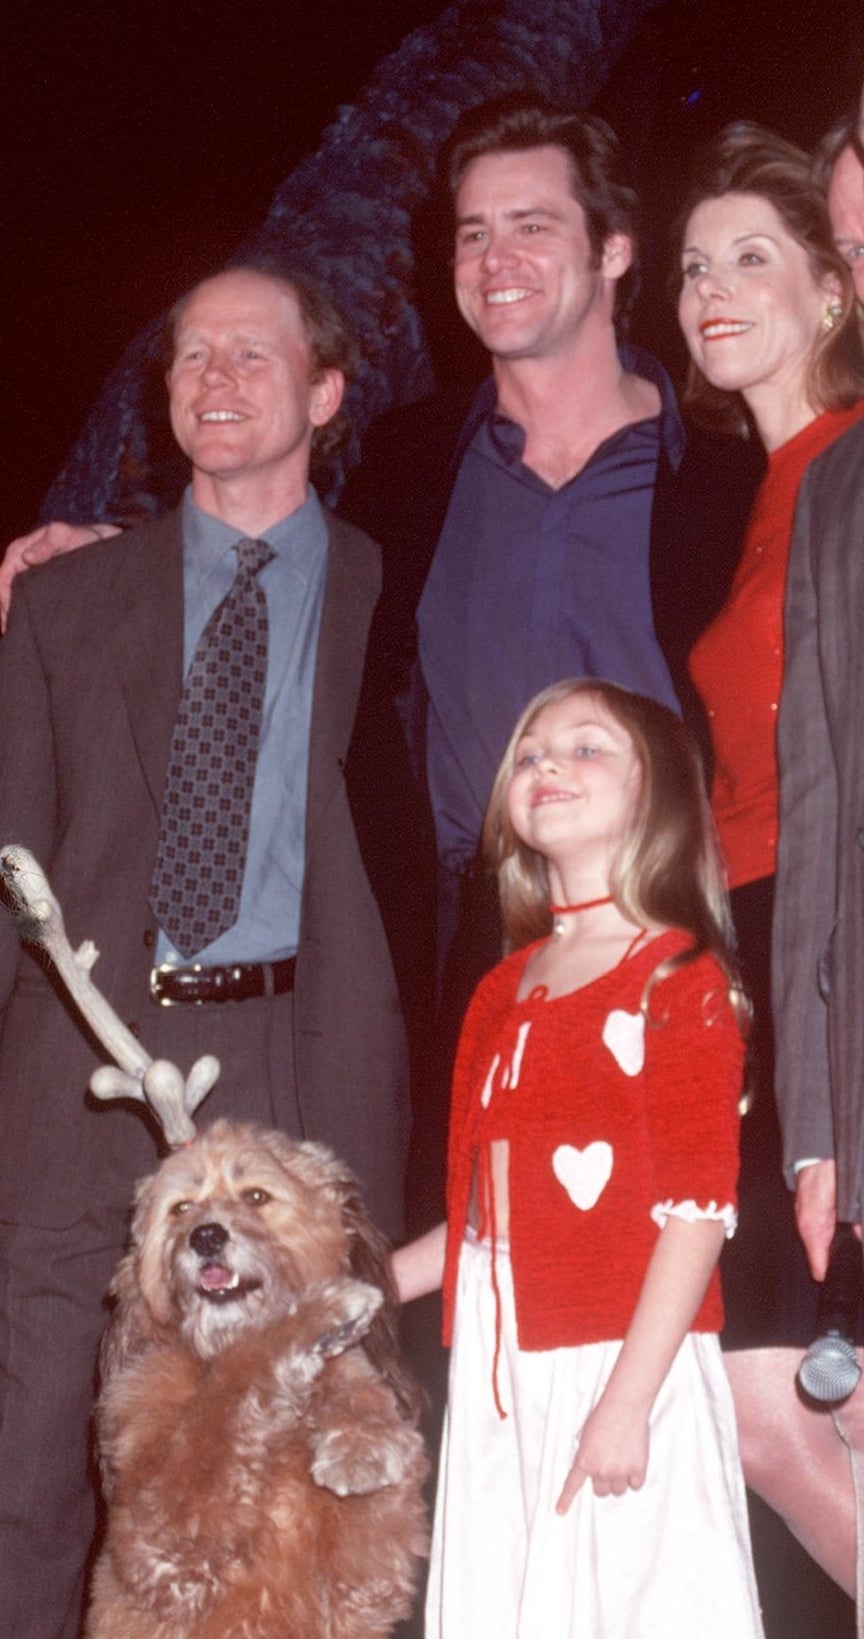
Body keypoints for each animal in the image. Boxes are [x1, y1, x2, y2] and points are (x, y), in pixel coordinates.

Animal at [84, 1121, 429, 1639]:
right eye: (181, 1207)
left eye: (255, 1196)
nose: (206, 1236)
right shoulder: (158, 1535)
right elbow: (233, 1386)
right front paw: (319, 1314)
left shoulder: (367, 1580)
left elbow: (354, 1383)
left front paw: (362, 1440)